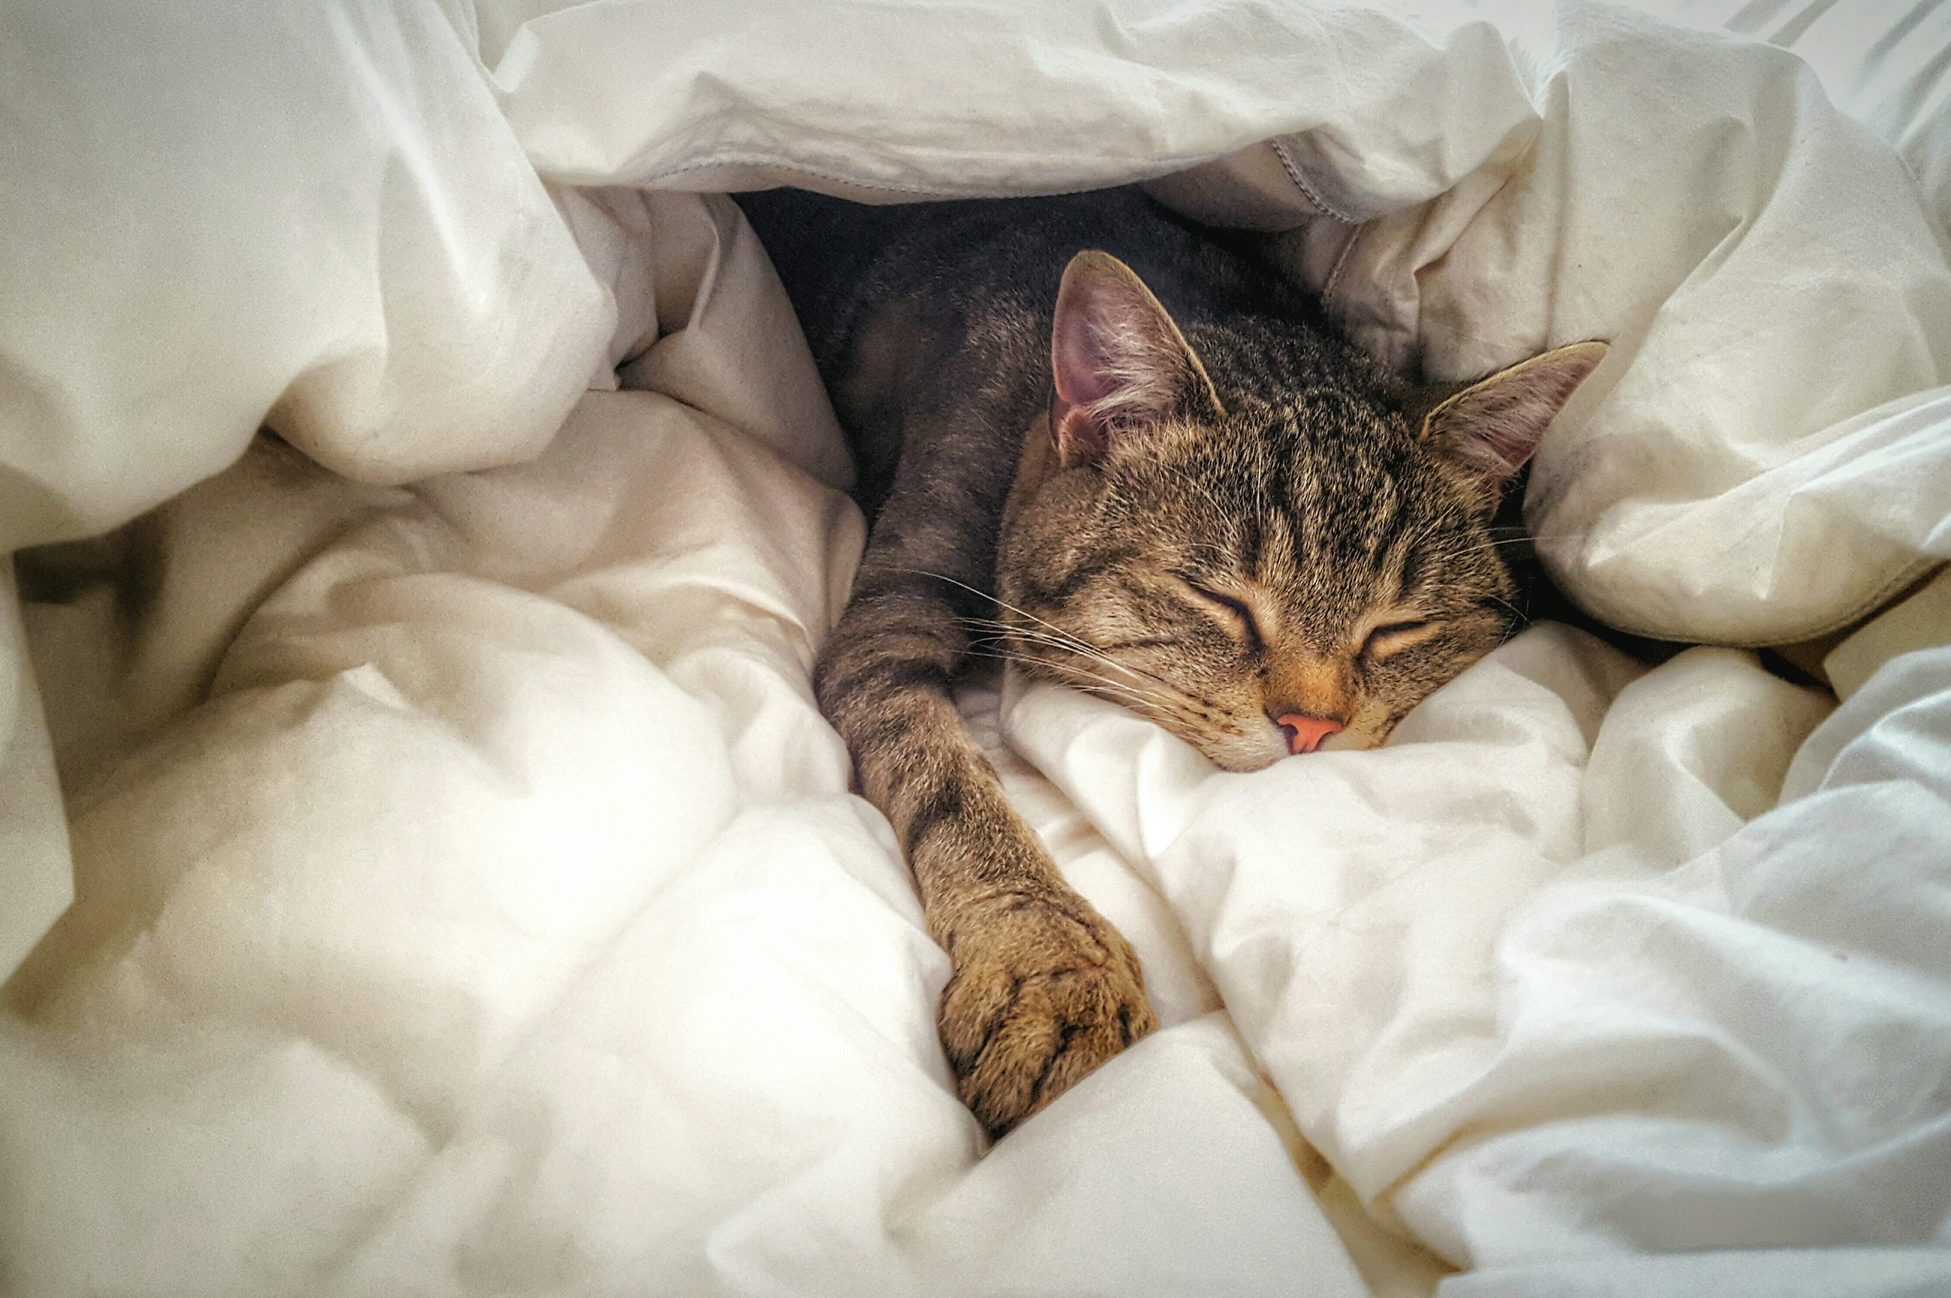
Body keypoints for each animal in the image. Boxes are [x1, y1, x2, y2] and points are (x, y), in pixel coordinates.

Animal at [733, 184, 1599, 1132]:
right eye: (1219, 600)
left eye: (1397, 628)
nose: (1309, 728)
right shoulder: (887, 623)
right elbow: (948, 784)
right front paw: (1045, 960)